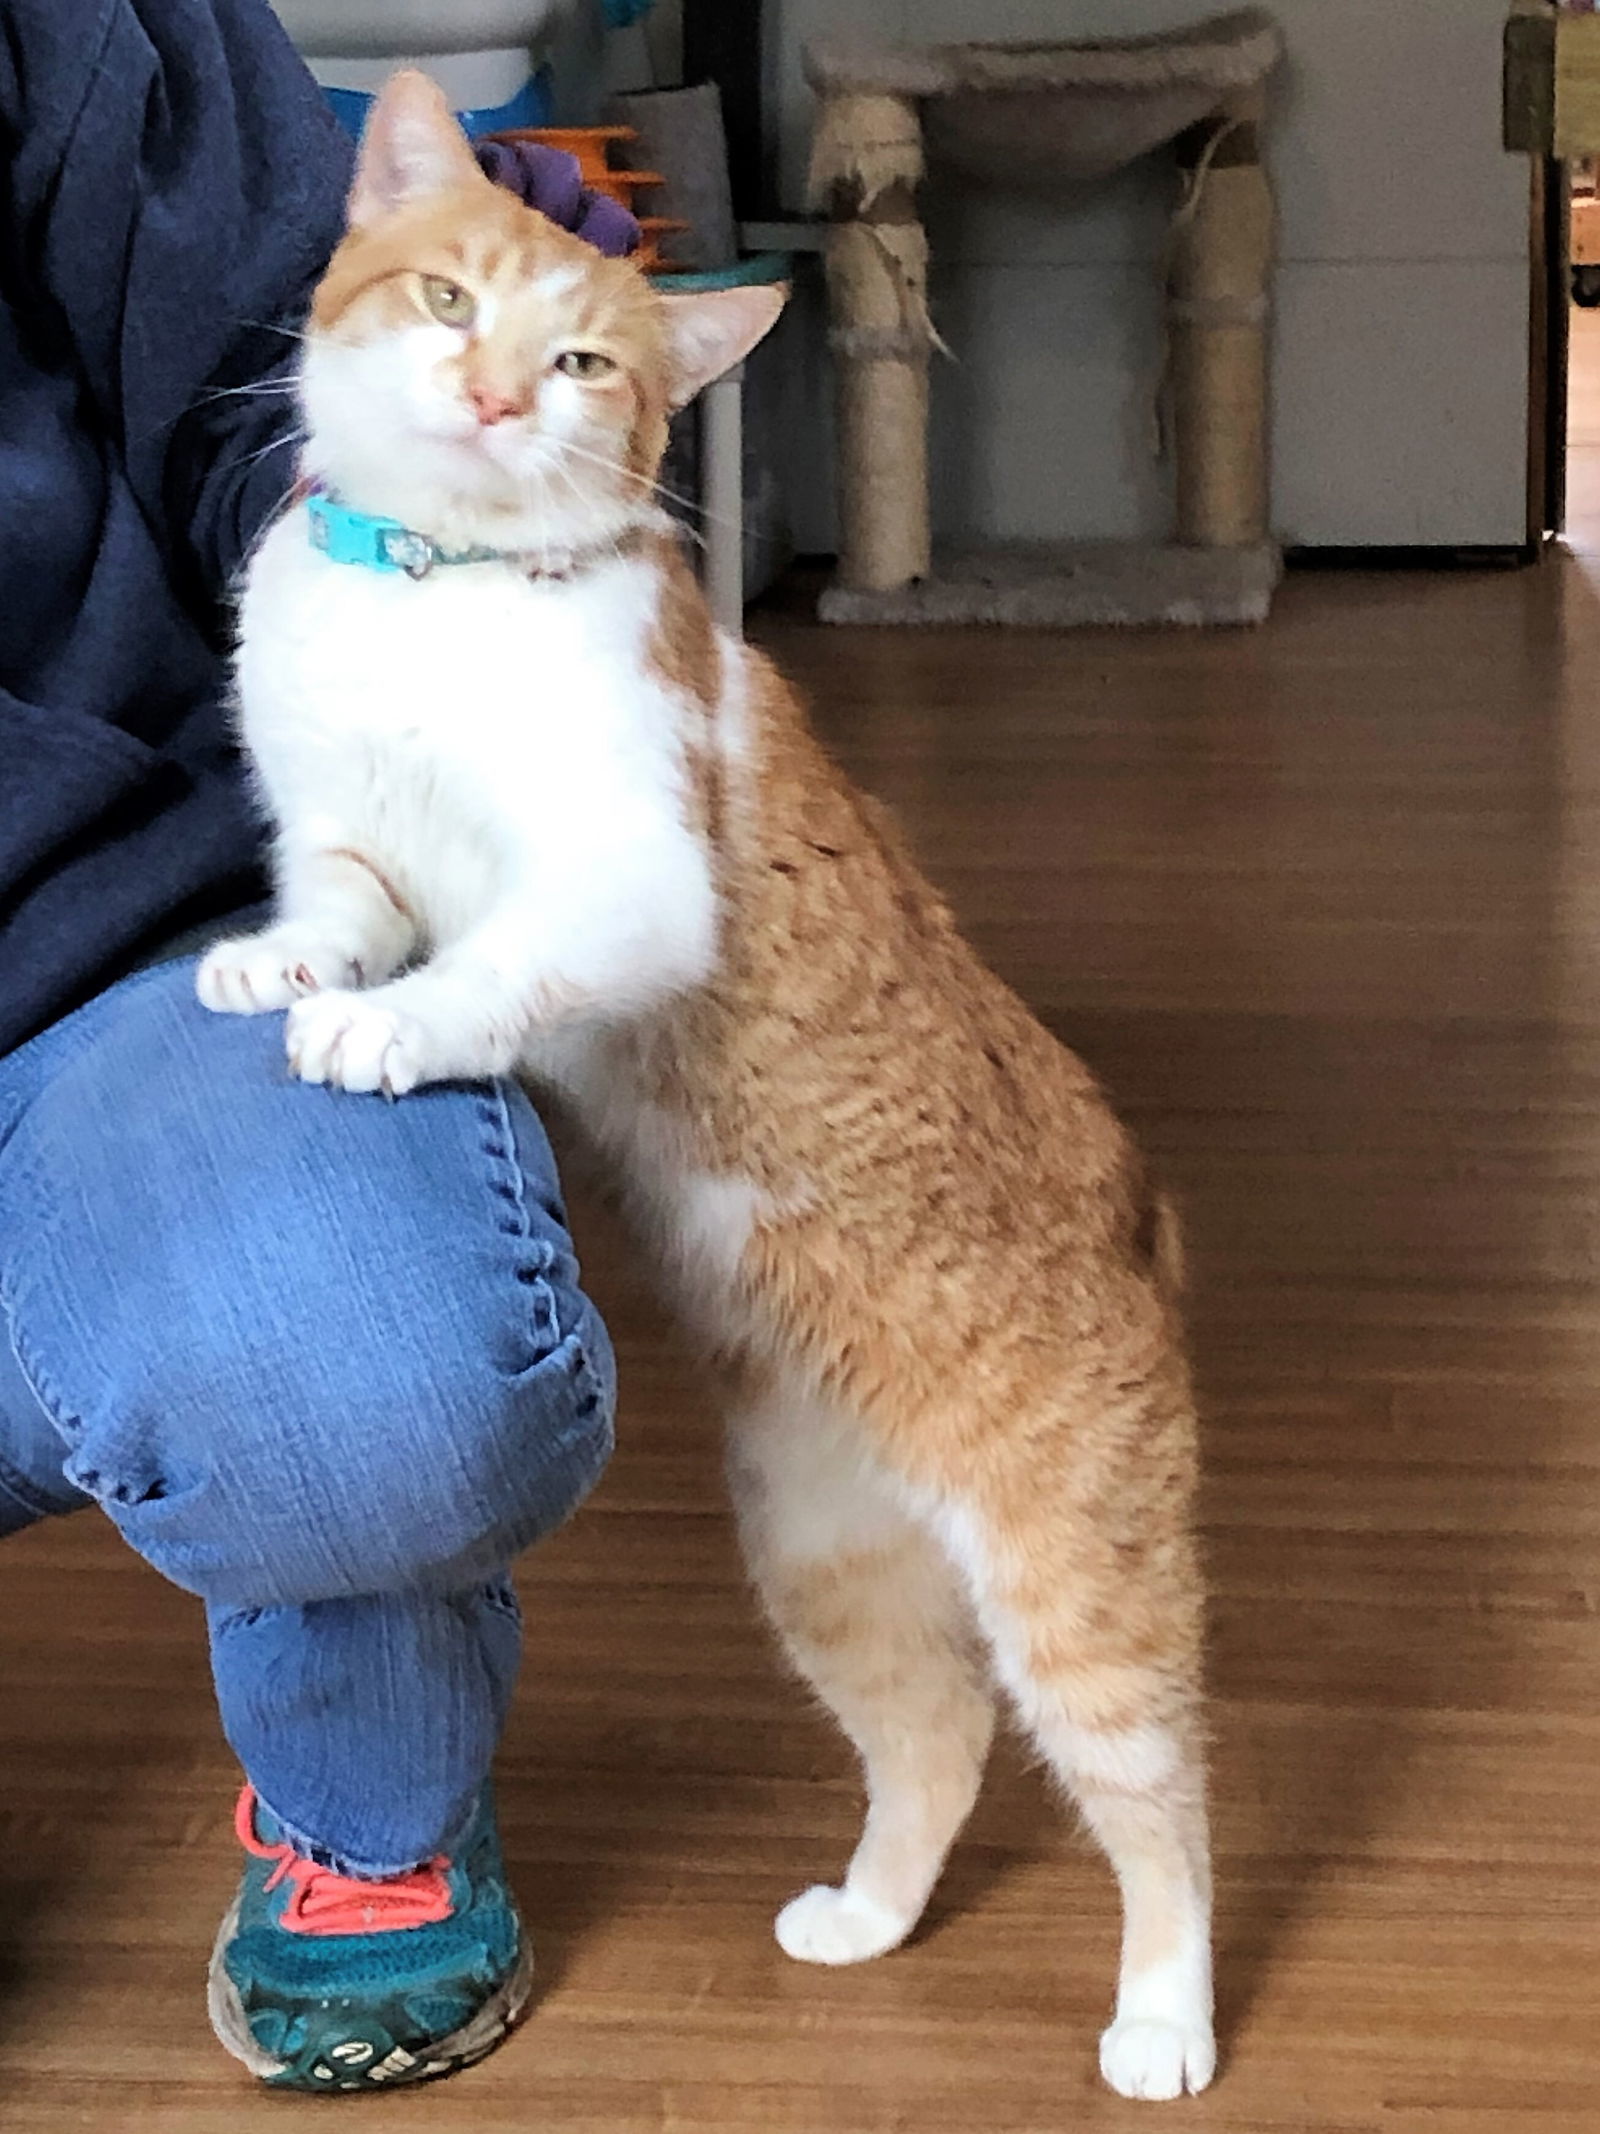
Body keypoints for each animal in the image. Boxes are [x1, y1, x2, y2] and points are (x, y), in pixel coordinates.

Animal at [197, 70, 1211, 2099]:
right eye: (447, 301)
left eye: (584, 357)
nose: (496, 395)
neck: (433, 587)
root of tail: (1142, 1213)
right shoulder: (354, 843)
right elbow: (340, 905)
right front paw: (283, 965)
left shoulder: (623, 877)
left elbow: (486, 967)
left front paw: (391, 1030)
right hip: (828, 1558)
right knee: (936, 1741)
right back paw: (870, 1914)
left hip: (1077, 1581)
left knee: (1159, 1801)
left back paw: (1162, 2015)